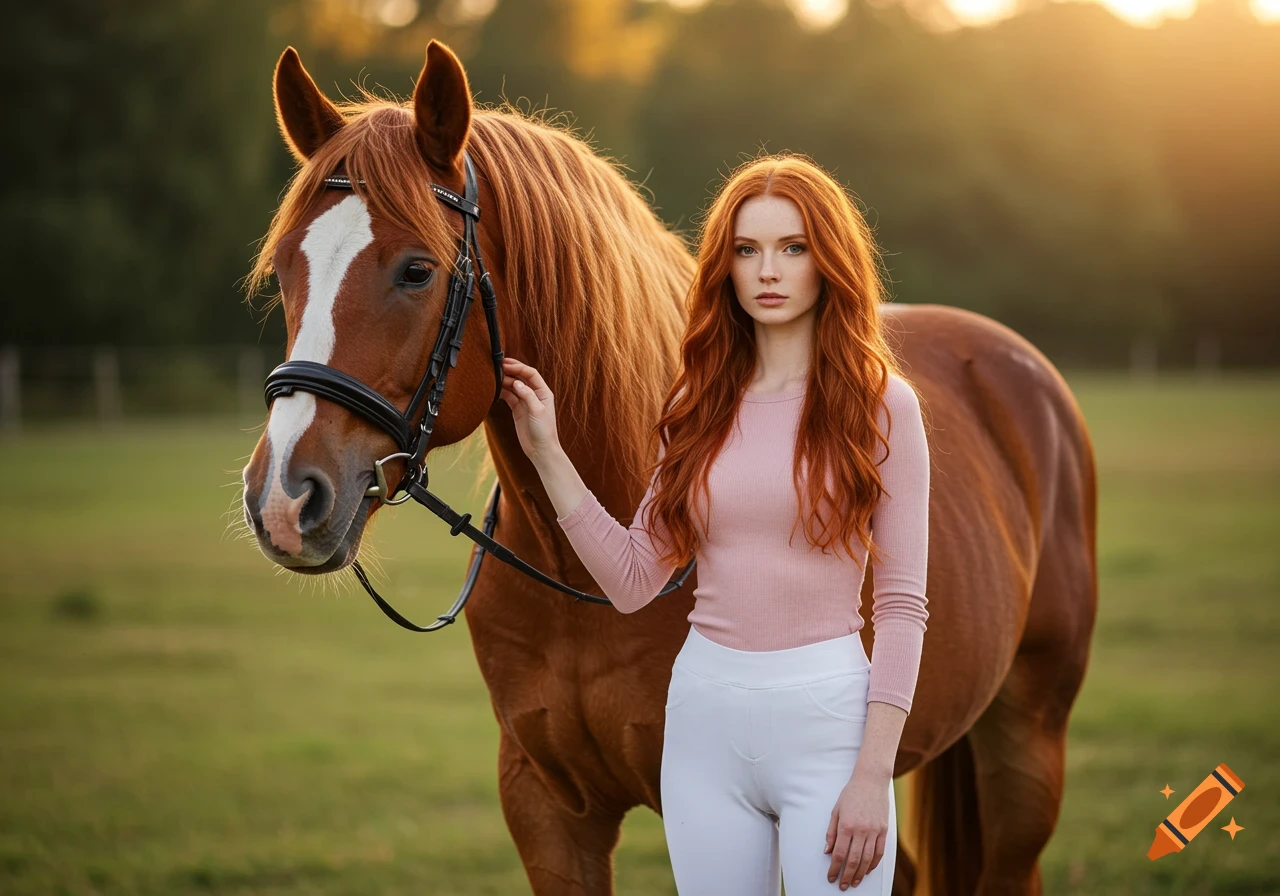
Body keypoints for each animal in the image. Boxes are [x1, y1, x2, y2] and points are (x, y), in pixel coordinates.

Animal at [239, 40, 1097, 896]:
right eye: (284, 268)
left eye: (417, 270)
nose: (285, 500)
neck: (583, 581)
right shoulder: (548, 811)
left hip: (1024, 744)